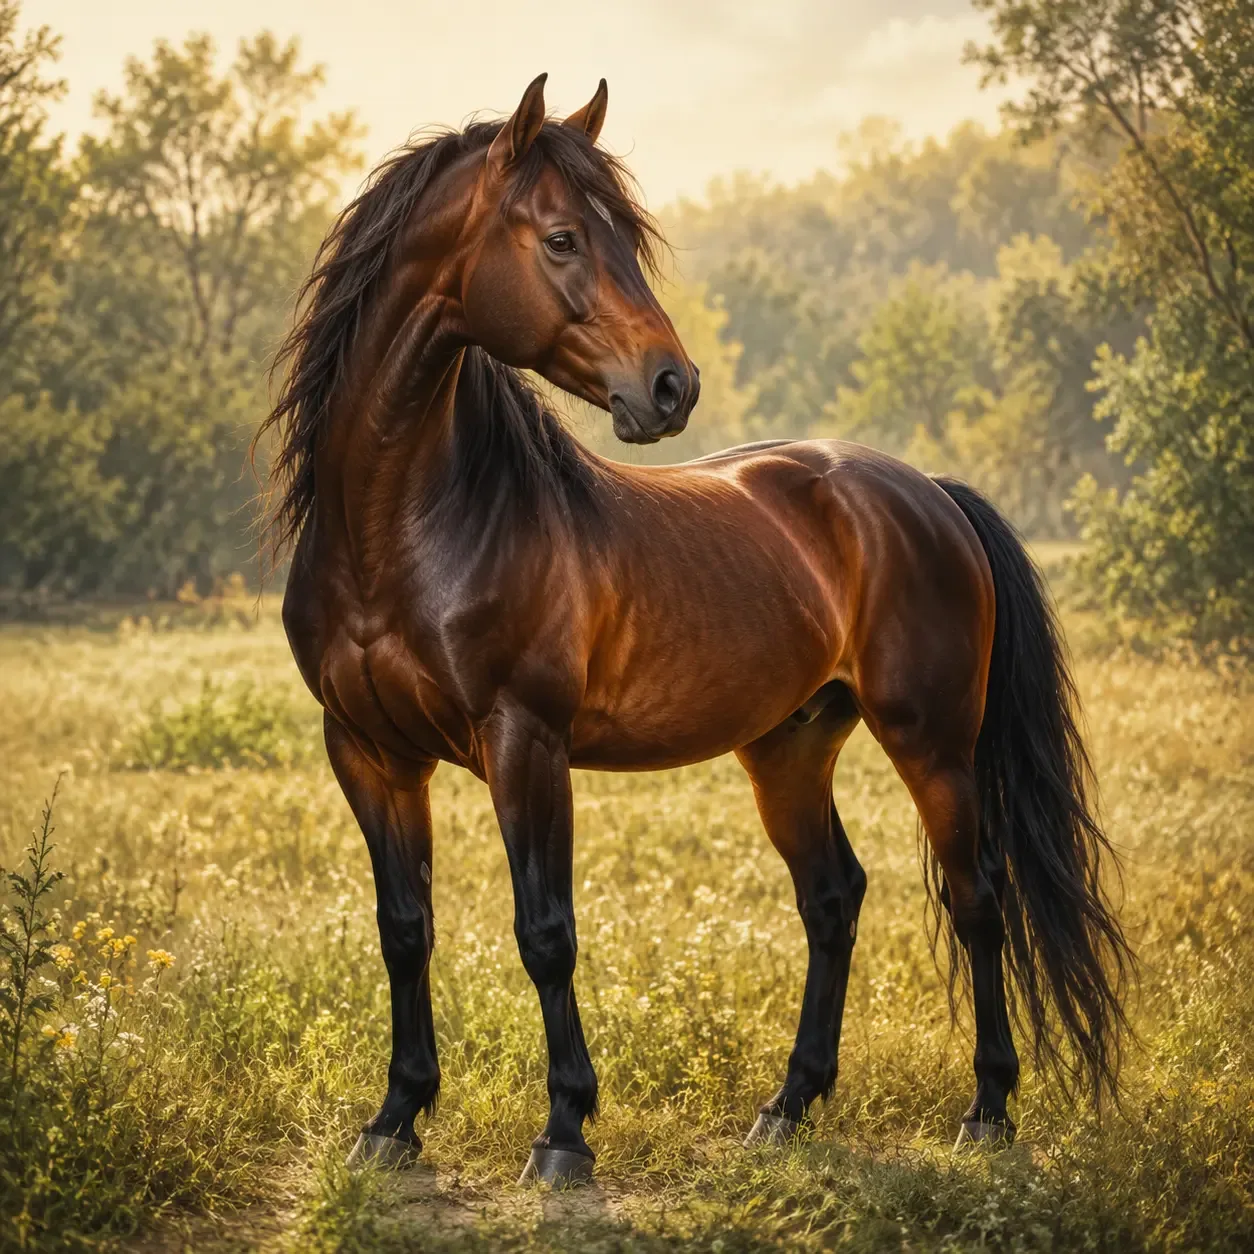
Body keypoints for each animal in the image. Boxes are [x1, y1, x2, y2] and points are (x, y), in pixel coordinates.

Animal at [257, 74, 1132, 1186]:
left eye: (624, 240)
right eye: (561, 239)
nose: (671, 386)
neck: (408, 532)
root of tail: (925, 490)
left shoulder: (524, 743)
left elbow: (545, 932)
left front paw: (564, 1132)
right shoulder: (368, 752)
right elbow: (403, 929)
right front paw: (395, 1119)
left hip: (933, 744)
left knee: (977, 901)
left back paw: (986, 1111)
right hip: (790, 748)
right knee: (833, 898)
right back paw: (788, 1107)